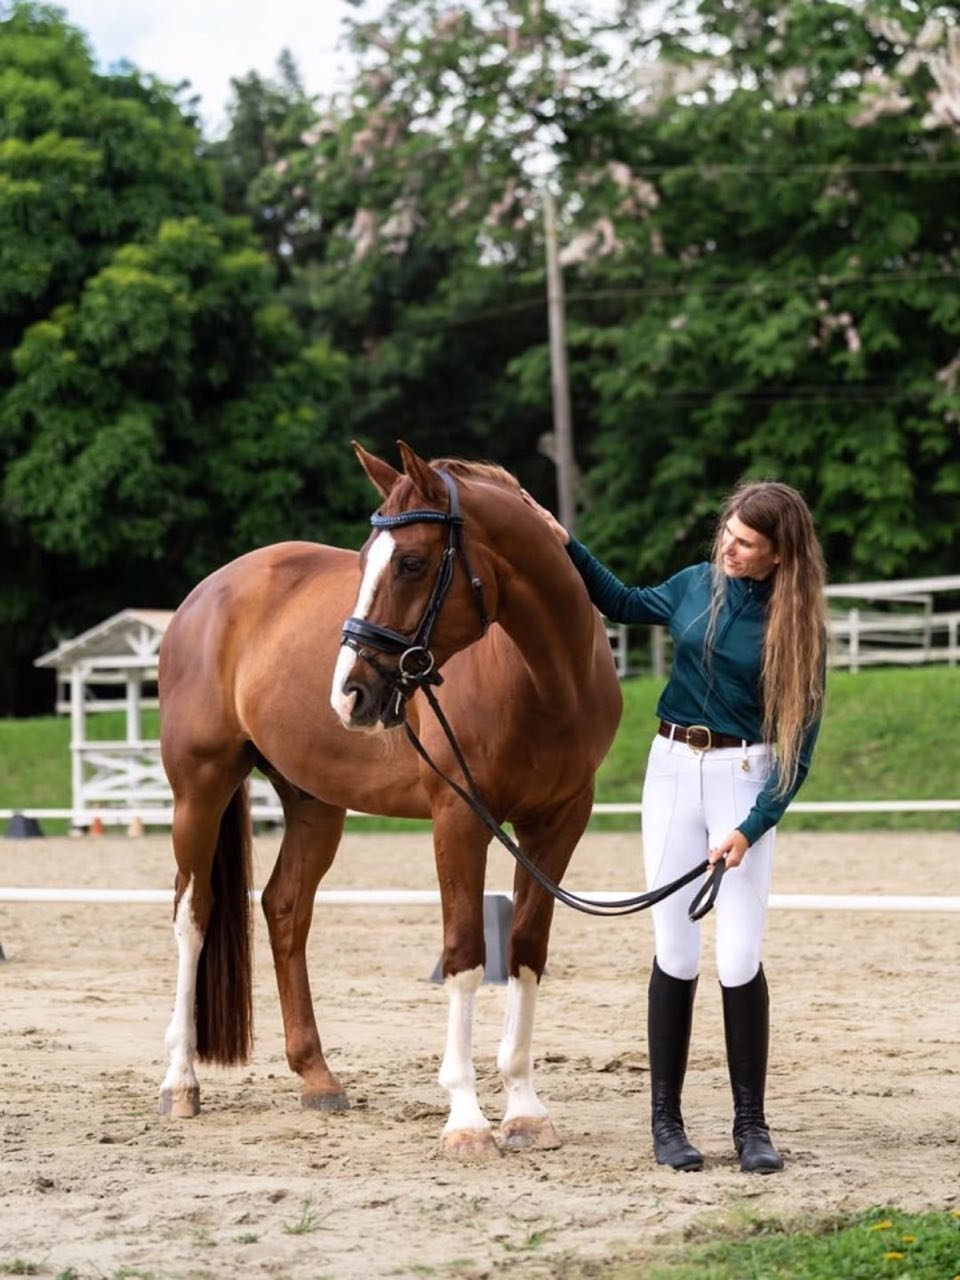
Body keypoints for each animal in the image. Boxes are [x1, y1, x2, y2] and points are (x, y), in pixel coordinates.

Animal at [157, 440, 623, 1156]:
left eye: (410, 562)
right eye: (364, 561)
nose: (348, 692)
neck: (543, 679)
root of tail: (209, 592)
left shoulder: (559, 823)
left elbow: (525, 951)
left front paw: (524, 1110)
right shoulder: (458, 817)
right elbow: (465, 953)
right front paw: (466, 1121)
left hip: (314, 803)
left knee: (285, 909)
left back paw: (317, 1077)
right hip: (200, 786)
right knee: (194, 912)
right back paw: (180, 1083)